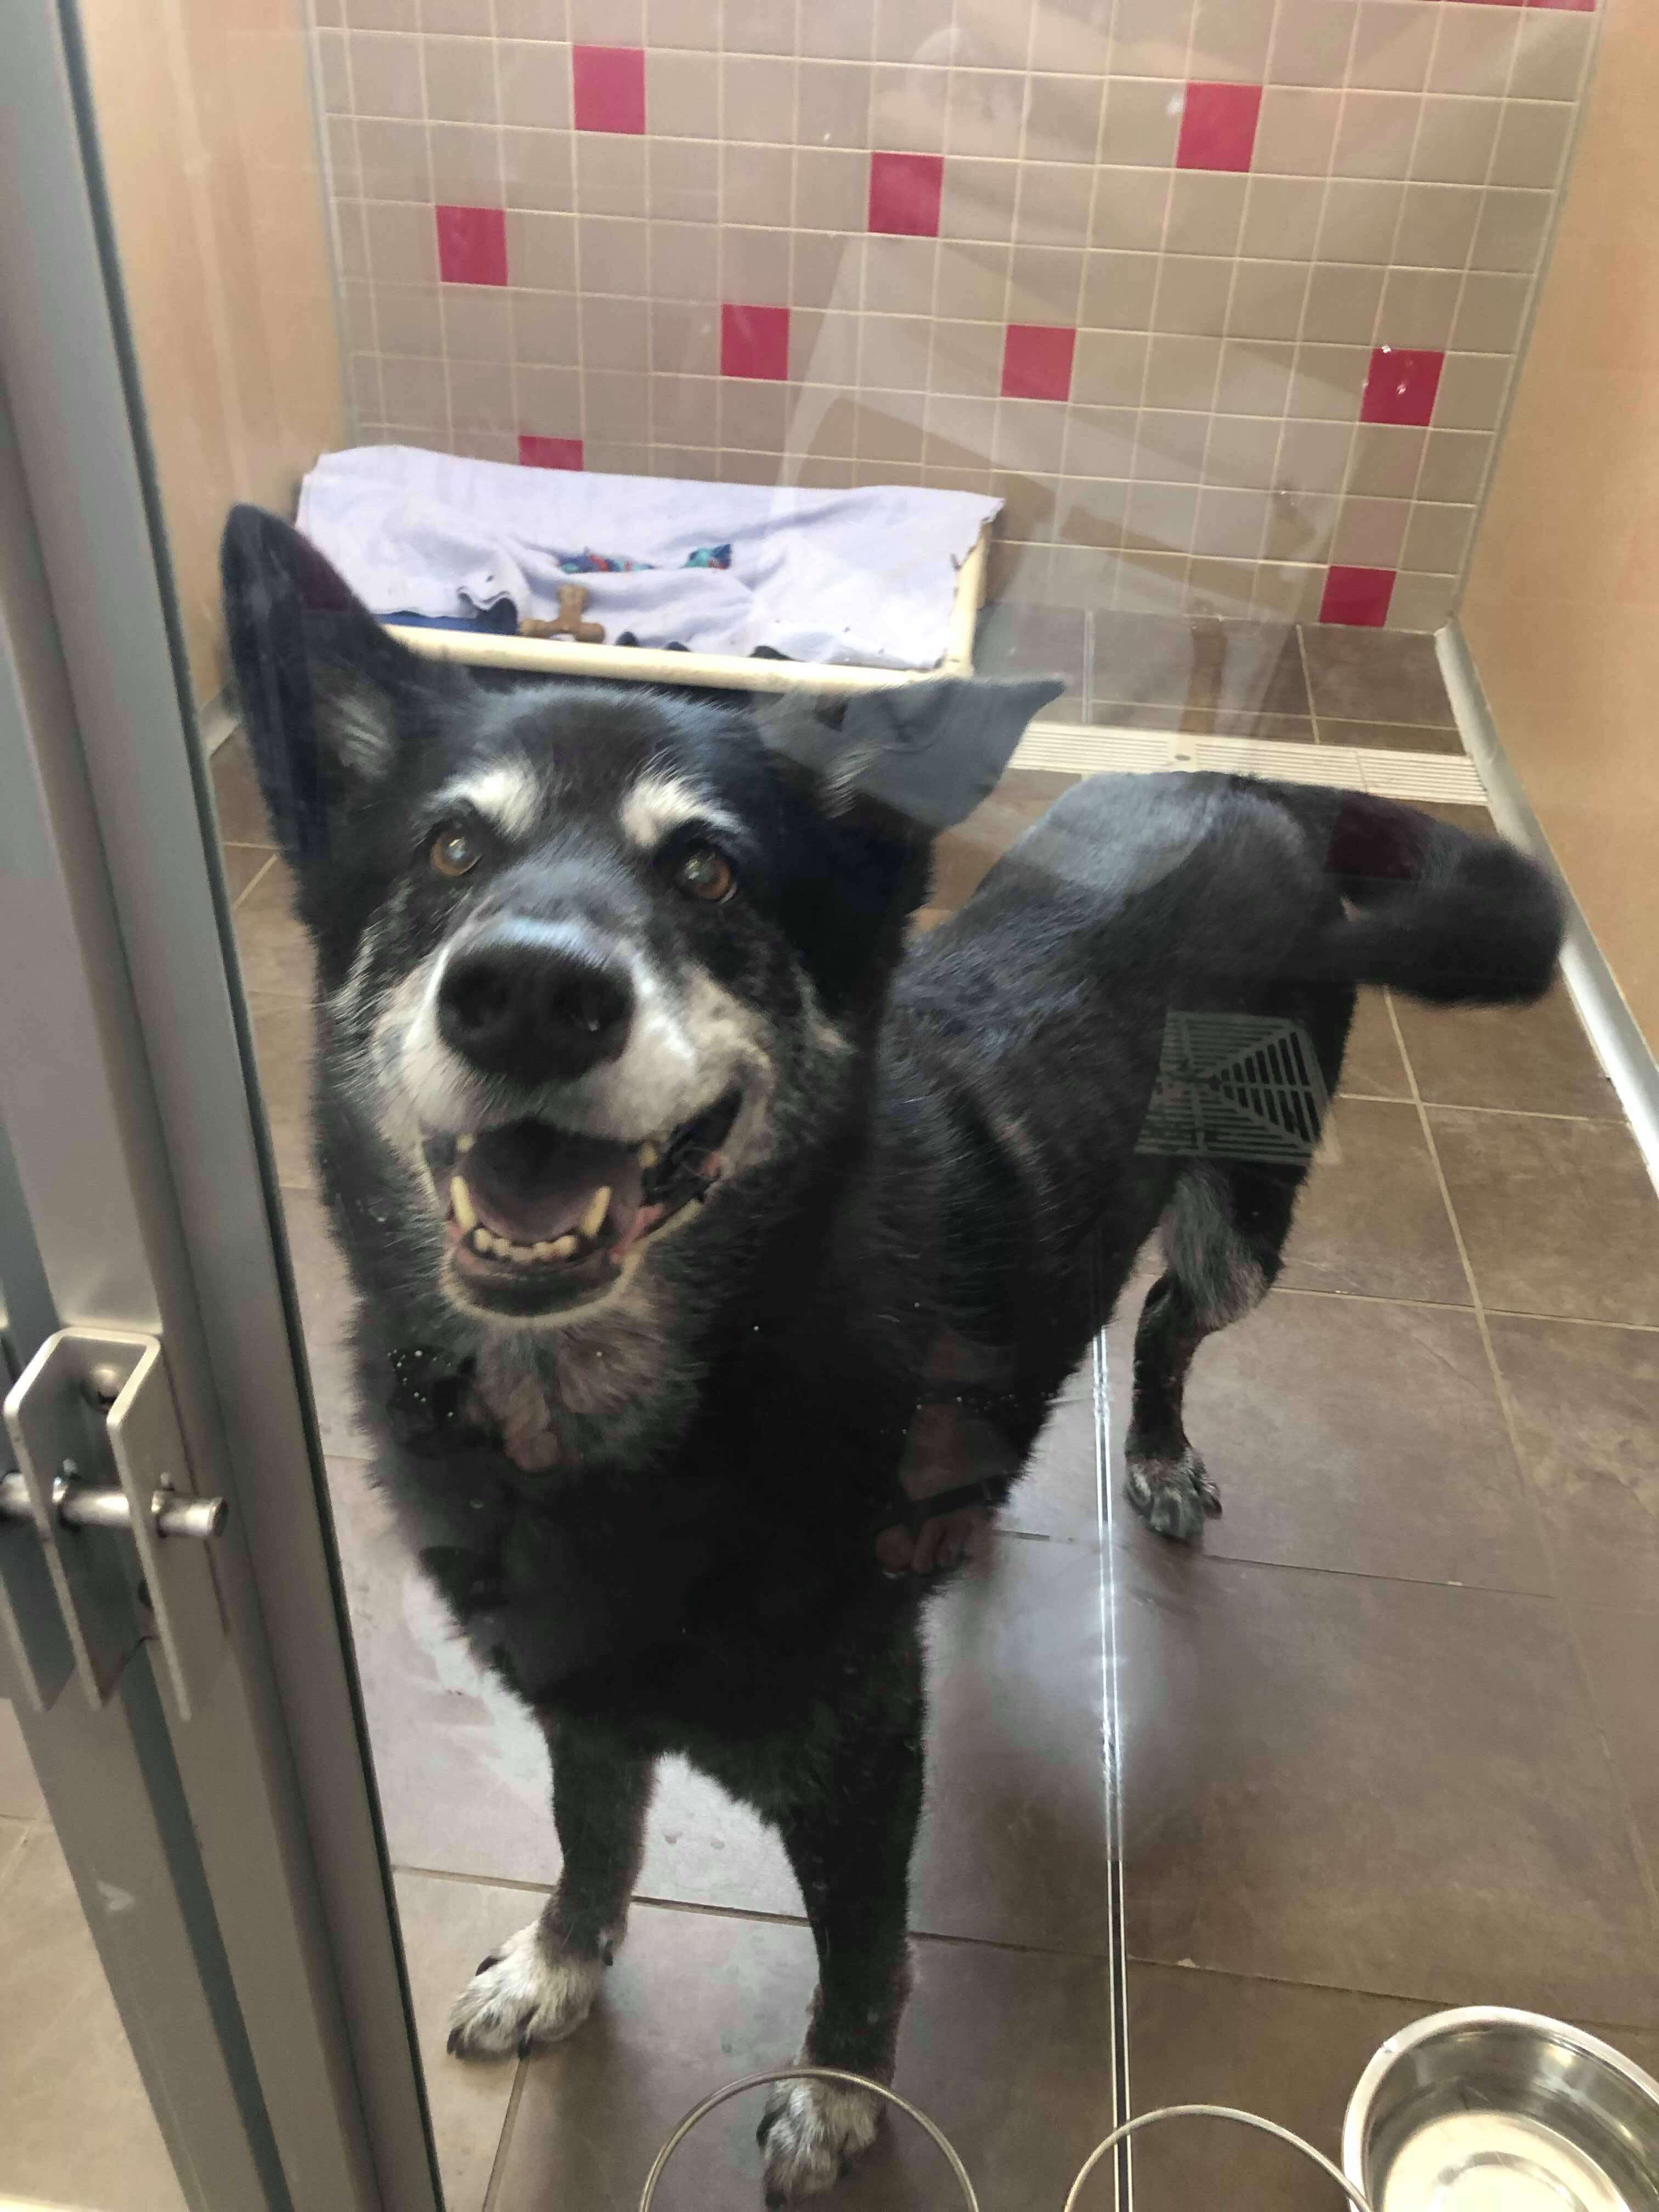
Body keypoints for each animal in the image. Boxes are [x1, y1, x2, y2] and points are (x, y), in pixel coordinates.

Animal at [224, 509, 1575, 2203]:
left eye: (709, 868)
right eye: (450, 853)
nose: (527, 992)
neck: (646, 1412)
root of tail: (1246, 786)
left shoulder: (863, 1755)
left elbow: (862, 1953)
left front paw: (840, 2102)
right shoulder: (579, 1698)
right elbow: (592, 1841)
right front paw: (558, 1967)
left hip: (1244, 1224)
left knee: (1163, 1322)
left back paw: (1157, 1455)